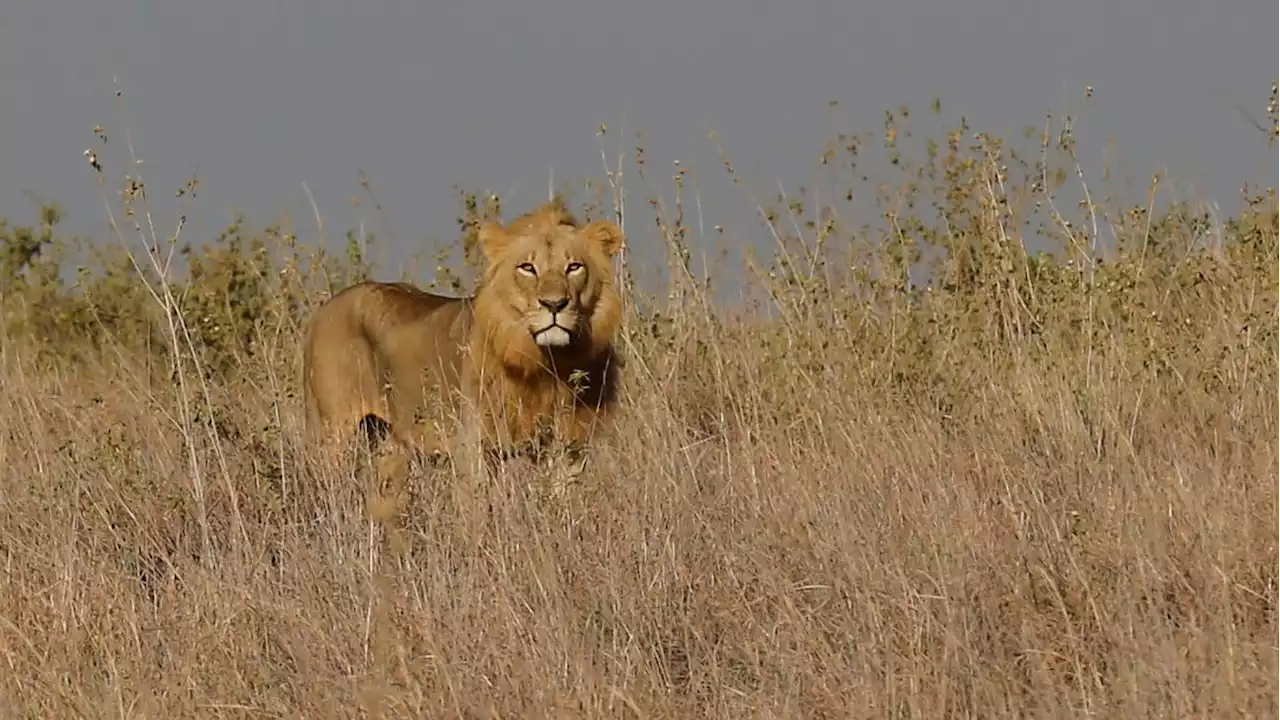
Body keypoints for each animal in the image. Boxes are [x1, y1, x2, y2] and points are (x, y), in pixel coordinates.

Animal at [295, 198, 624, 484]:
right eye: (527, 268)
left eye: (574, 267)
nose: (554, 304)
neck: (549, 361)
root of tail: (324, 308)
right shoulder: (474, 446)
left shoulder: (573, 446)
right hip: (334, 432)